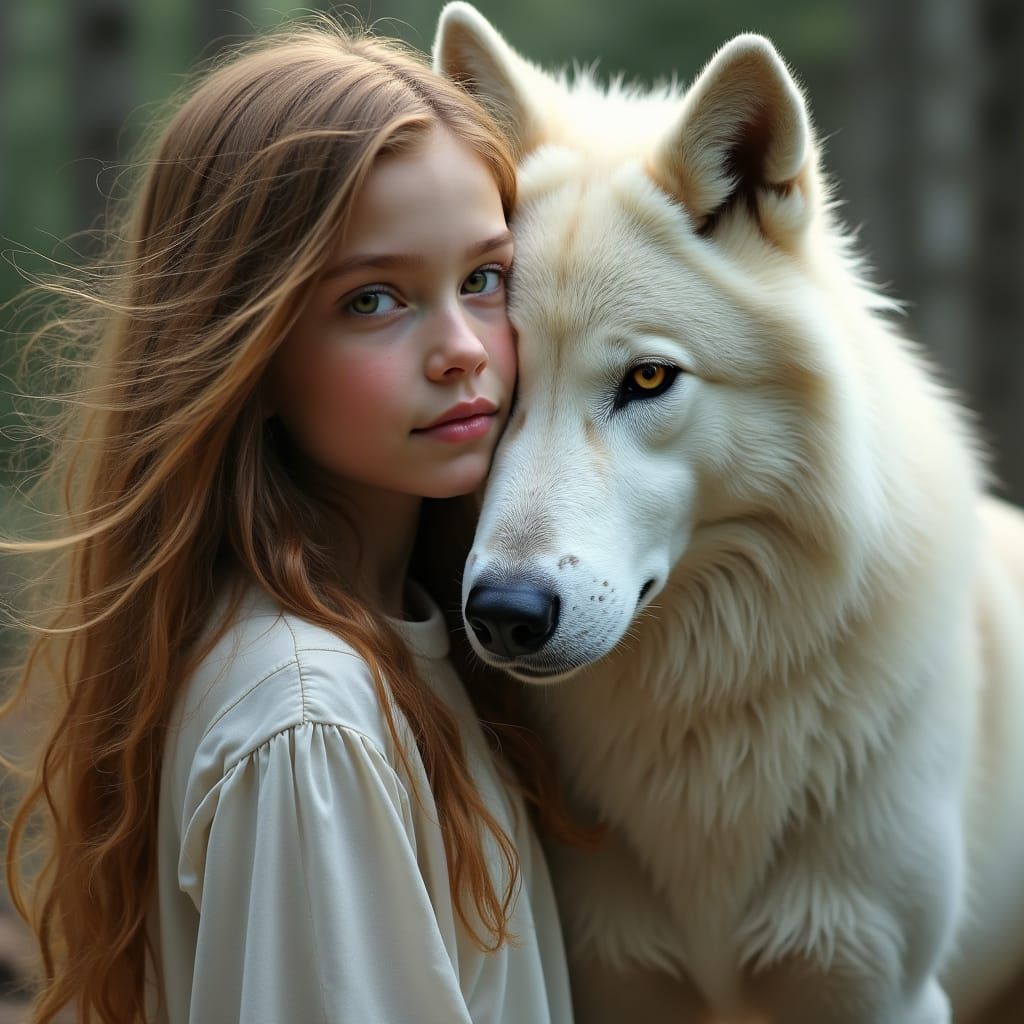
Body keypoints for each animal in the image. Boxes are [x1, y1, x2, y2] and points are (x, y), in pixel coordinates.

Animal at [433, 5, 1024, 1022]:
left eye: (647, 379)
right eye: (488, 388)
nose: (507, 615)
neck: (696, 719)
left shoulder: (879, 988)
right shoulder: (616, 979)